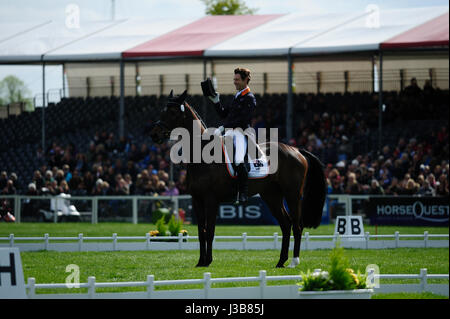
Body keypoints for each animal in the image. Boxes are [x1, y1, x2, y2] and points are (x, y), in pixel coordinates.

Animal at [149, 89, 326, 268]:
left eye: (172, 112)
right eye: (163, 111)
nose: (154, 134)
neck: (202, 155)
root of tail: (296, 150)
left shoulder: (211, 200)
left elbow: (210, 231)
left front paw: (208, 261)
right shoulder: (197, 200)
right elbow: (201, 232)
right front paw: (200, 262)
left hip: (293, 194)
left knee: (297, 225)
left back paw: (294, 262)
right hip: (272, 196)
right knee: (286, 224)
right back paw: (281, 261)